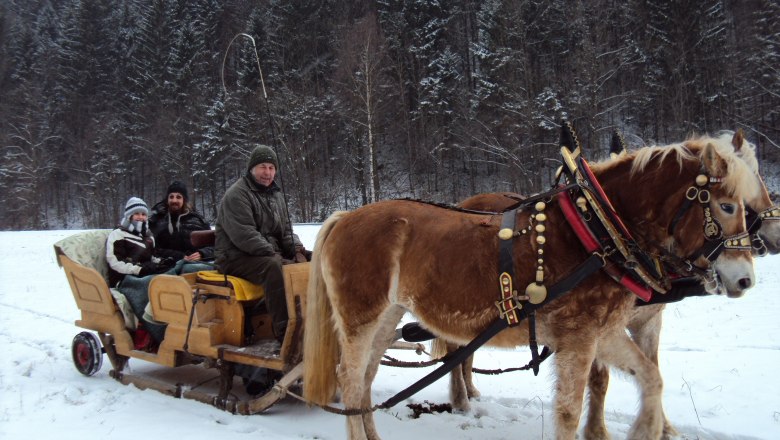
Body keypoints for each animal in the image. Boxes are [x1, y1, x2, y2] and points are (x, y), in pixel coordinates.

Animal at [302, 142, 760, 440]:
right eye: (727, 206)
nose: (745, 279)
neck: (596, 230)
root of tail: (343, 217)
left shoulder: (603, 332)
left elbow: (651, 377)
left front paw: (647, 429)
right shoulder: (579, 338)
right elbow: (569, 411)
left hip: (389, 316)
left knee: (364, 379)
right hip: (361, 318)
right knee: (350, 378)